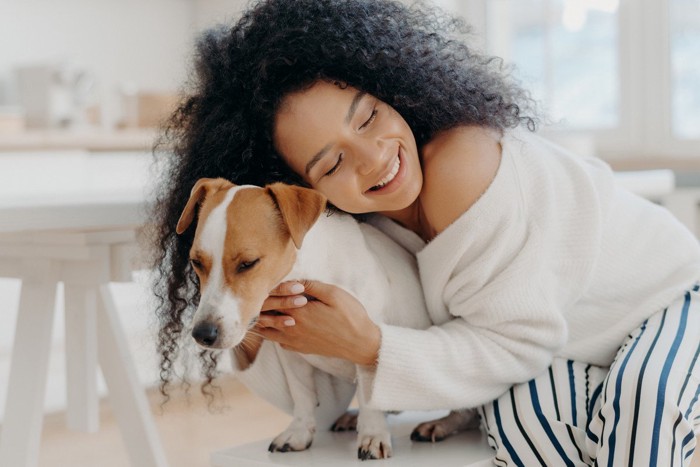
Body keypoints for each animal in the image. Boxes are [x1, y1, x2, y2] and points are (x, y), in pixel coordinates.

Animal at [175, 178, 476, 460]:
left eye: (248, 263)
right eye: (196, 262)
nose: (202, 334)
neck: (310, 272)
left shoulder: (365, 343)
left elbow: (369, 397)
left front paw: (372, 435)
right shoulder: (291, 353)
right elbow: (302, 395)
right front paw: (299, 432)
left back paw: (442, 423)